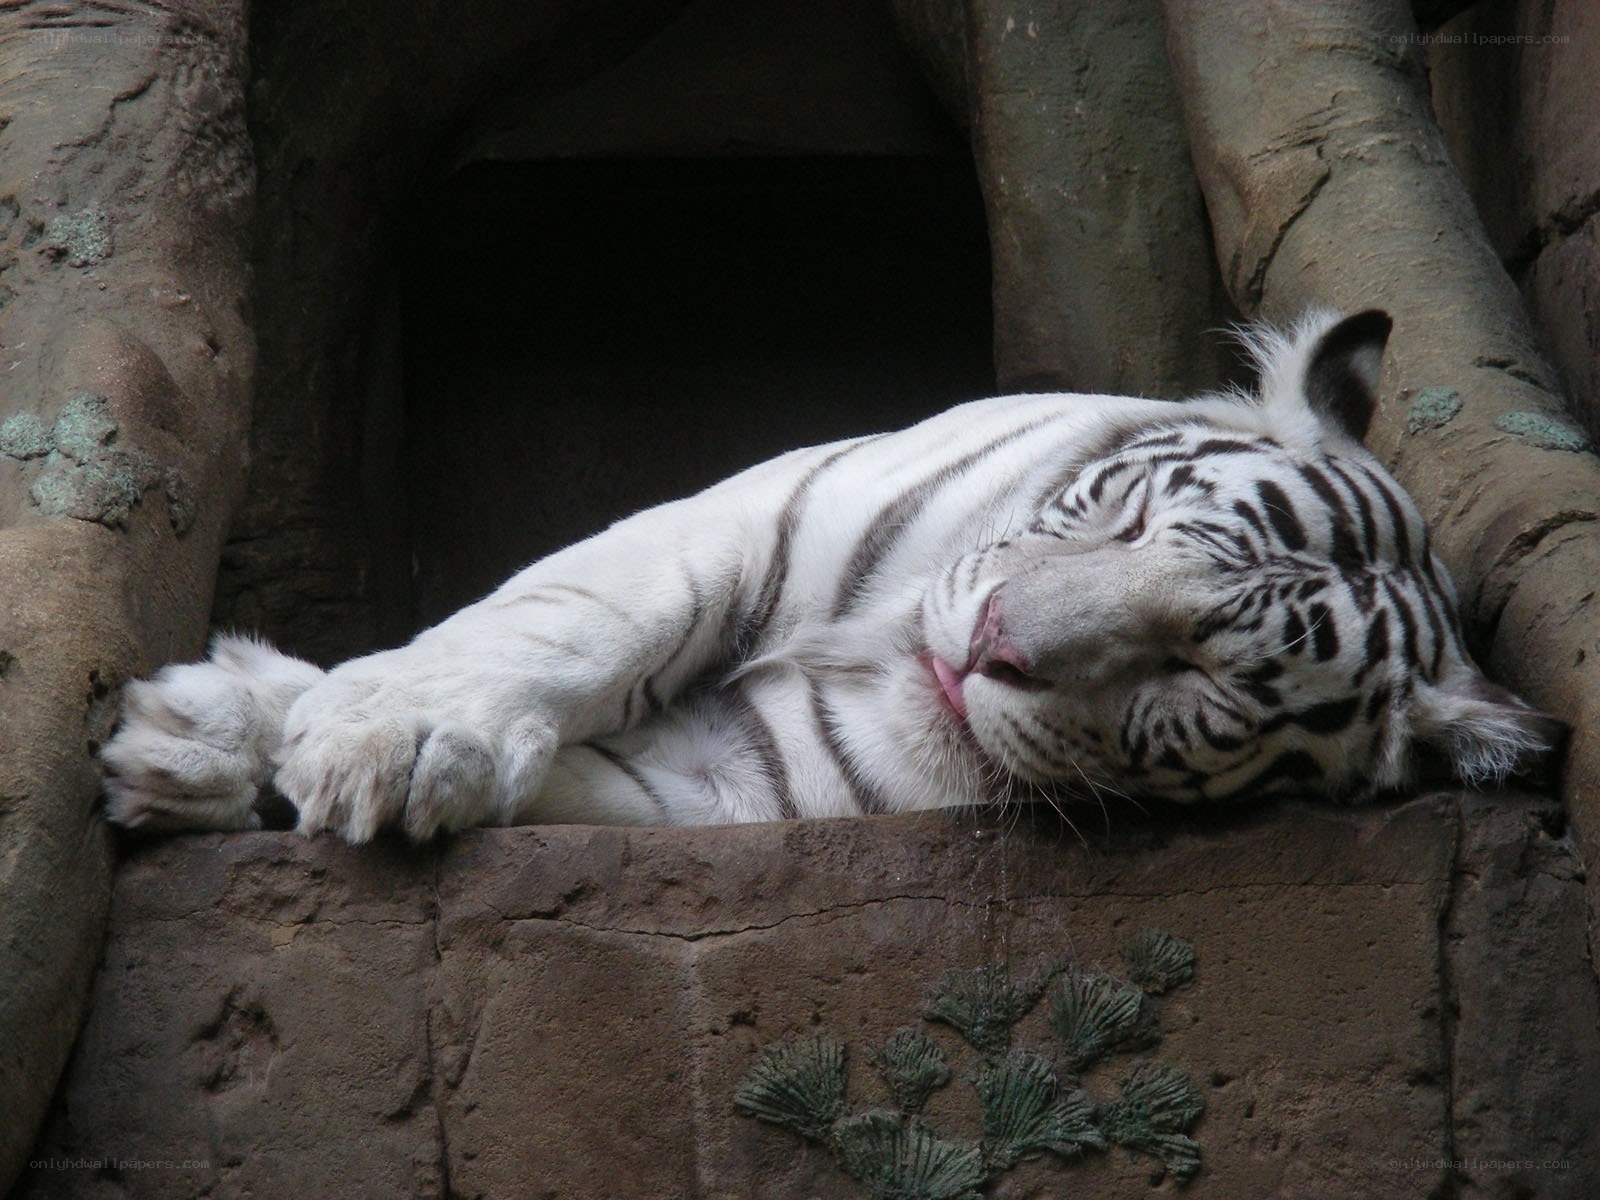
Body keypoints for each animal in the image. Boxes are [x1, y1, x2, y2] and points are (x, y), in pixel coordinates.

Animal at [102, 309, 1565, 842]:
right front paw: (369, 737)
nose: (988, 644)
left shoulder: (736, 785)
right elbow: (576, 618)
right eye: (1133, 518)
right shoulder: (758, 512)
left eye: (1196, 675)